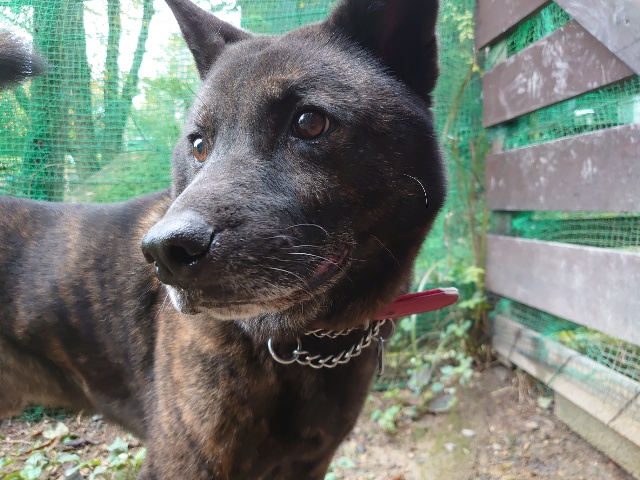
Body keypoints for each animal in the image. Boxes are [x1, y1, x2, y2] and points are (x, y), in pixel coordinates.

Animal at [0, 0, 445, 477]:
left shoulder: (310, 462)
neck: (303, 346)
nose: (164, 253)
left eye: (309, 122)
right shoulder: (181, 463)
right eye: (198, 144)